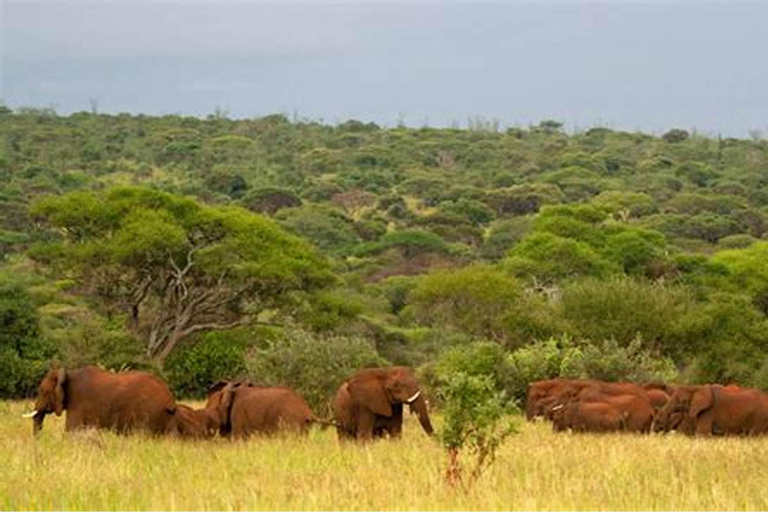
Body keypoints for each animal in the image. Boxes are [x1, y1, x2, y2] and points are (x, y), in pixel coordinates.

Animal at [24, 364, 177, 436]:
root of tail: (169, 397)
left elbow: (71, 430)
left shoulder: (78, 402)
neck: (69, 373)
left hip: (149, 412)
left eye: (42, 391)